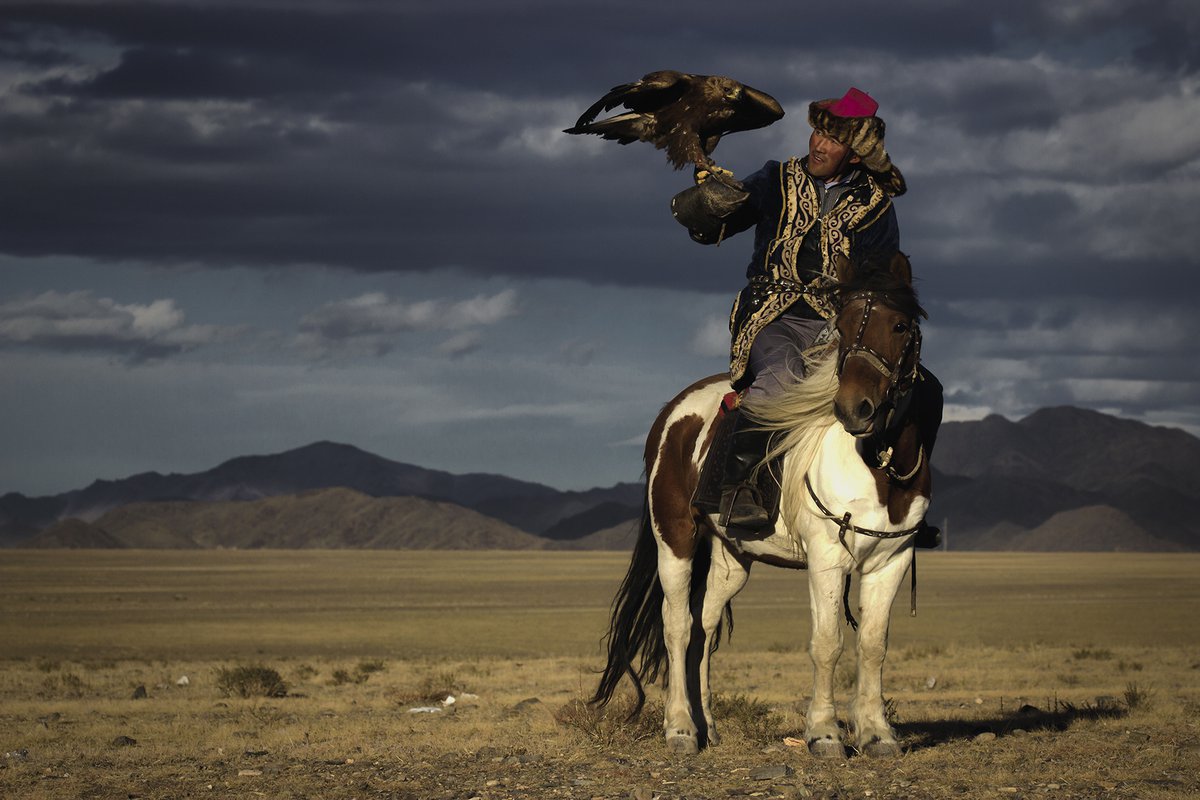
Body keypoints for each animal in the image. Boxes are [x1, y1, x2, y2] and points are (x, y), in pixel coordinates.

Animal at [590, 250, 936, 758]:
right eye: (843, 326)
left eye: (898, 325)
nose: (855, 409)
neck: (878, 463)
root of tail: (672, 413)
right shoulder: (827, 559)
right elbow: (827, 642)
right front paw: (824, 734)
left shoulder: (892, 559)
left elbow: (873, 644)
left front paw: (878, 734)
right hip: (675, 538)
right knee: (677, 624)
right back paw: (680, 729)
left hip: (731, 556)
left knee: (704, 626)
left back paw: (707, 726)